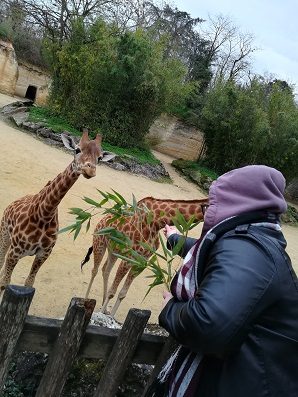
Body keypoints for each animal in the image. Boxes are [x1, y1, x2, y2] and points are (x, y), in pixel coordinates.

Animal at [0, 130, 103, 290]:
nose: (90, 170)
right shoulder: (15, 252)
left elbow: (29, 282)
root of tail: (10, 204)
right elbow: (4, 282)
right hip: (5, 235)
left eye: (100, 157)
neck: (44, 214)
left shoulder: (43, 254)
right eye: (77, 149)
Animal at [80, 196, 208, 316]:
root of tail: (103, 219)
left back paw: (104, 306)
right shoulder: (129, 258)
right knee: (95, 270)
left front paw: (109, 316)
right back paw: (86, 300)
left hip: (113, 250)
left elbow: (122, 293)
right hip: (99, 242)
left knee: (105, 270)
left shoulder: (141, 261)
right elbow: (113, 292)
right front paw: (101, 315)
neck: (156, 221)